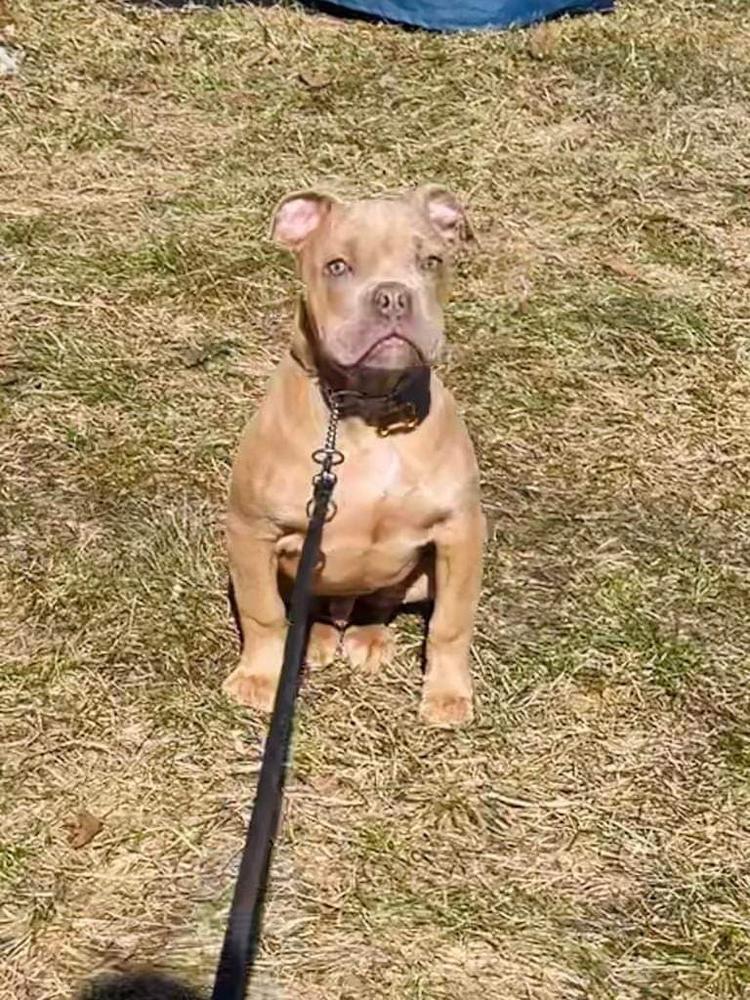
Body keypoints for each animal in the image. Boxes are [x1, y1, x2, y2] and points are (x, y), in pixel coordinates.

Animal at [223, 184, 484, 724]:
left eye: (431, 261)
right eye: (337, 266)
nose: (393, 296)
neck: (363, 410)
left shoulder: (461, 531)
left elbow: (451, 623)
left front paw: (448, 695)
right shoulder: (251, 531)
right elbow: (263, 614)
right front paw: (259, 679)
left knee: (380, 600)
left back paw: (367, 636)